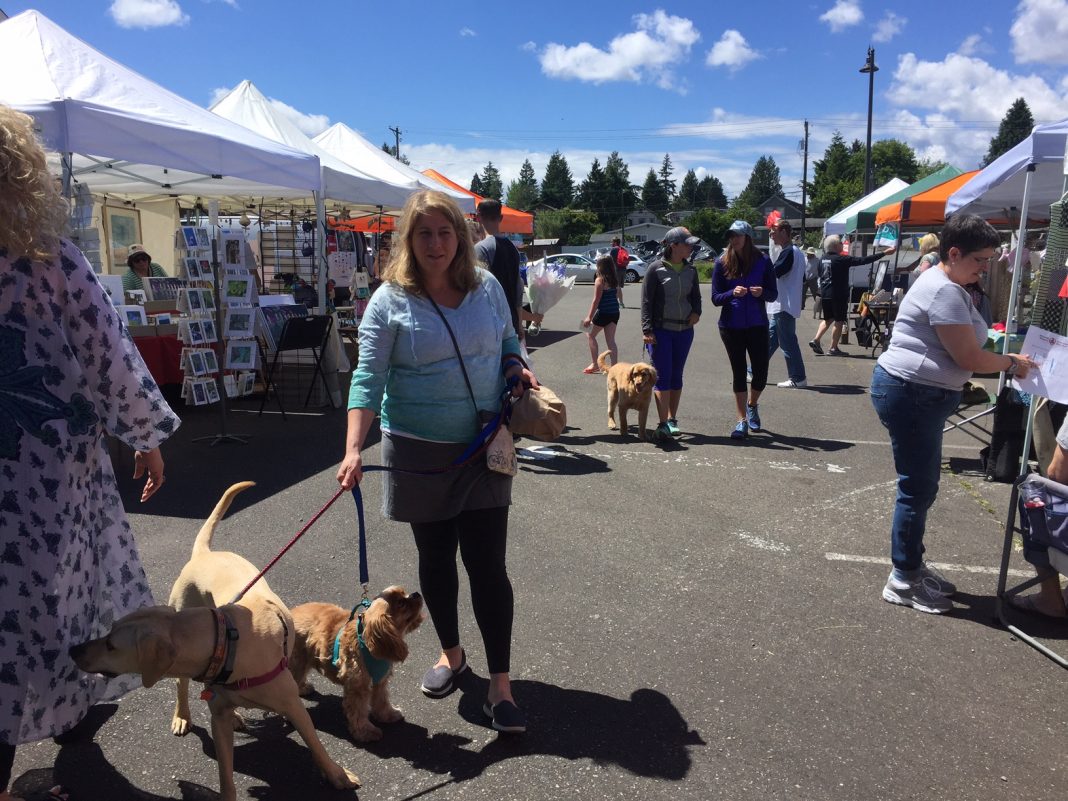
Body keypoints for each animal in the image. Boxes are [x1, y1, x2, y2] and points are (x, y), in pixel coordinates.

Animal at [68, 482, 358, 801]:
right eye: (108, 633)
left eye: (111, 644)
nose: (73, 650)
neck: (228, 644)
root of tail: (204, 554)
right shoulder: (217, 718)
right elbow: (225, 773)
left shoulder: (293, 707)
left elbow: (315, 743)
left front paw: (337, 774)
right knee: (181, 686)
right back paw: (183, 715)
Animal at [292, 585, 429, 743]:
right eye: (401, 603)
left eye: (404, 592)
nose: (416, 593)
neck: (369, 643)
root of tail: (290, 612)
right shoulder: (358, 687)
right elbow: (358, 712)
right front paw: (365, 732)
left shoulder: (380, 682)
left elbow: (382, 701)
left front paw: (388, 715)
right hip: (297, 662)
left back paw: (303, 688)